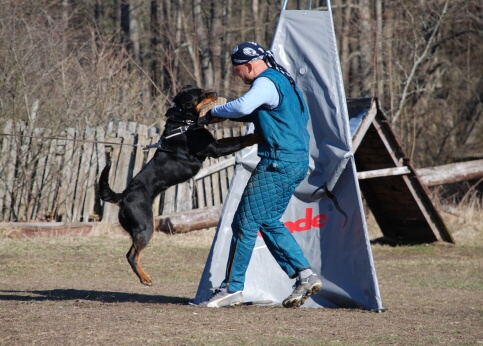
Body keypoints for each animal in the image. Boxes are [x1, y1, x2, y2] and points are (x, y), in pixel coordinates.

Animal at [98, 85, 260, 286]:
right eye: (201, 93)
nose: (214, 91)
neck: (184, 120)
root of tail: (123, 196)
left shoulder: (213, 142)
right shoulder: (214, 148)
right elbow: (241, 139)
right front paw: (258, 135)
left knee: (131, 253)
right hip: (145, 225)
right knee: (132, 255)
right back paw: (145, 278)